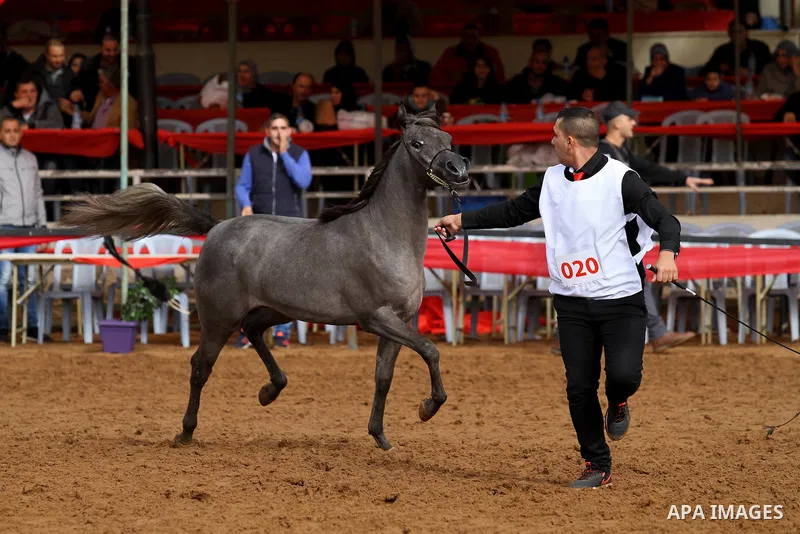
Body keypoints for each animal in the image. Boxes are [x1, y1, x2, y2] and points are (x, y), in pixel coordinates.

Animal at [59, 107, 471, 451]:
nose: (458, 171)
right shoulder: (377, 318)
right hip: (218, 319)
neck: (384, 234)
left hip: (275, 310)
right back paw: (186, 432)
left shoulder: (399, 321)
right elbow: (431, 350)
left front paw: (381, 438)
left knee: (253, 332)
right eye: (417, 143)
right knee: (200, 366)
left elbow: (384, 377)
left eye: (447, 138)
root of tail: (217, 226)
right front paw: (427, 407)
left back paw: (269, 391)